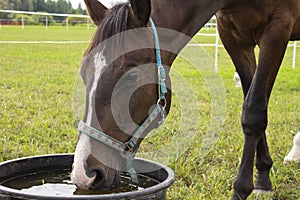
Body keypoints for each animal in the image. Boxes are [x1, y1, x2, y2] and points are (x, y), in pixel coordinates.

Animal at [71, 0, 300, 199]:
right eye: (83, 72)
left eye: (131, 77)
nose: (84, 175)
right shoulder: (233, 37)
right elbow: (252, 100)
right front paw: (263, 178)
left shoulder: (277, 29)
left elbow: (254, 110)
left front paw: (242, 189)